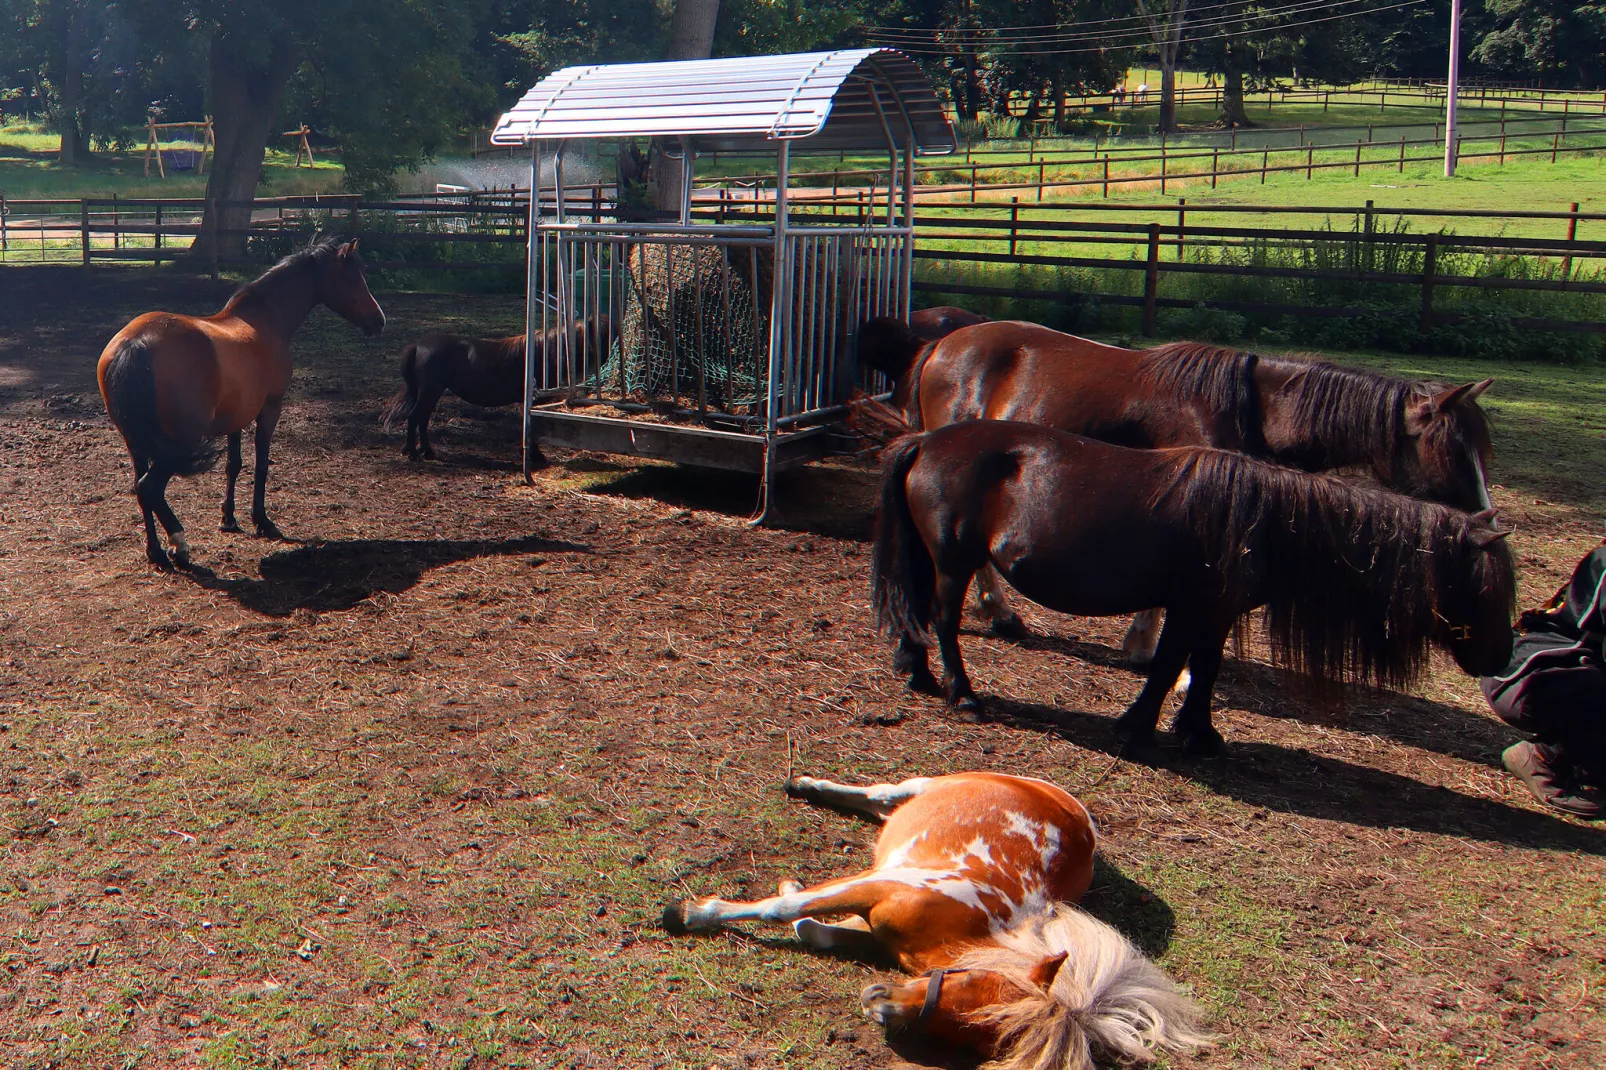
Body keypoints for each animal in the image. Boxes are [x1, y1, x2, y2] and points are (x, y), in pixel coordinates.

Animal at [97, 232, 385, 565]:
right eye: (352, 278)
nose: (379, 320)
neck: (264, 319)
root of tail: (135, 342)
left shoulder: (235, 417)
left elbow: (233, 465)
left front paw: (228, 519)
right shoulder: (270, 408)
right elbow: (261, 464)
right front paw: (262, 521)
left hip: (137, 442)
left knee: (141, 487)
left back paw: (155, 551)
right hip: (178, 441)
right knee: (149, 487)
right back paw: (179, 543)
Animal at [382, 313, 613, 459]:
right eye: (603, 333)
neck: (542, 355)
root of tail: (419, 346)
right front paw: (536, 456)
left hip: (431, 393)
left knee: (423, 420)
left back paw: (426, 451)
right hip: (430, 392)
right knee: (415, 418)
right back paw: (413, 453)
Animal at [860, 316, 1496, 649]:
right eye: (1450, 450)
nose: (1486, 519)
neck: (1250, 405)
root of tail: (942, 345)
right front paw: (1145, 645)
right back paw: (997, 610)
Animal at [880, 417, 1516, 748]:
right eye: (1483, 592)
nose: (1501, 660)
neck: (1265, 519)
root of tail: (927, 440)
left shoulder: (1217, 612)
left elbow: (1203, 669)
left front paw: (1198, 734)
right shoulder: (1190, 608)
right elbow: (1167, 667)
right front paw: (1139, 727)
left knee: (916, 616)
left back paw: (919, 674)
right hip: (953, 562)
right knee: (942, 622)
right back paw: (963, 695)